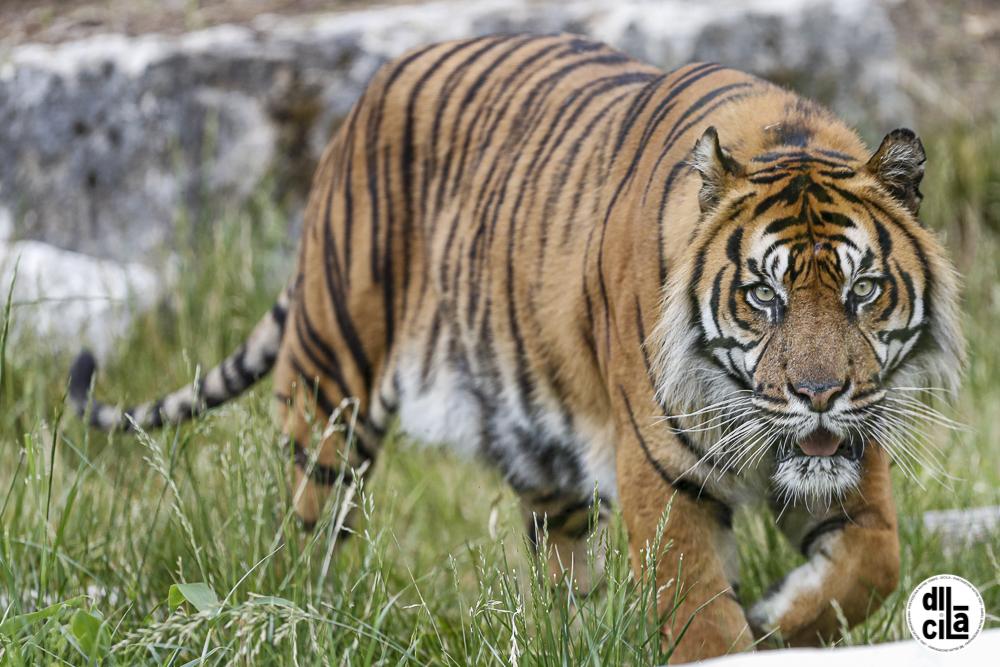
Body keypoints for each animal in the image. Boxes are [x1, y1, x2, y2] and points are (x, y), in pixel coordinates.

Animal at [66, 35, 964, 664]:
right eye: (763, 297)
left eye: (862, 291)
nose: (819, 395)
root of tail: (366, 94)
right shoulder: (664, 476)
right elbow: (702, 618)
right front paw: (747, 630)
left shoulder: (851, 453)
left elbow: (874, 563)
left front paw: (781, 616)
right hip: (330, 385)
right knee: (306, 534)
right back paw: (296, 621)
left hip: (540, 446)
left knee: (561, 570)